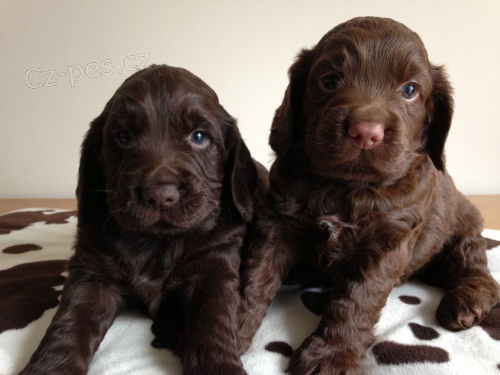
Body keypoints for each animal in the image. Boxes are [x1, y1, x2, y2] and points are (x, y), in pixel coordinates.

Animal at [20, 64, 268, 375]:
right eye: (123, 136)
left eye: (199, 136)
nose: (159, 195)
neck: (156, 242)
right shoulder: (92, 273)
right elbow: (69, 323)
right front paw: (49, 368)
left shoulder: (215, 267)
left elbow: (213, 321)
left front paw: (218, 366)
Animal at [239, 16, 500, 374]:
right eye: (329, 81)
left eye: (410, 90)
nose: (366, 132)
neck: (346, 187)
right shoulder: (277, 224)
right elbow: (255, 277)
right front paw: (223, 330)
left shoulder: (387, 240)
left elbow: (356, 298)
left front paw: (331, 355)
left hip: (464, 227)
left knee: (477, 269)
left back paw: (466, 303)